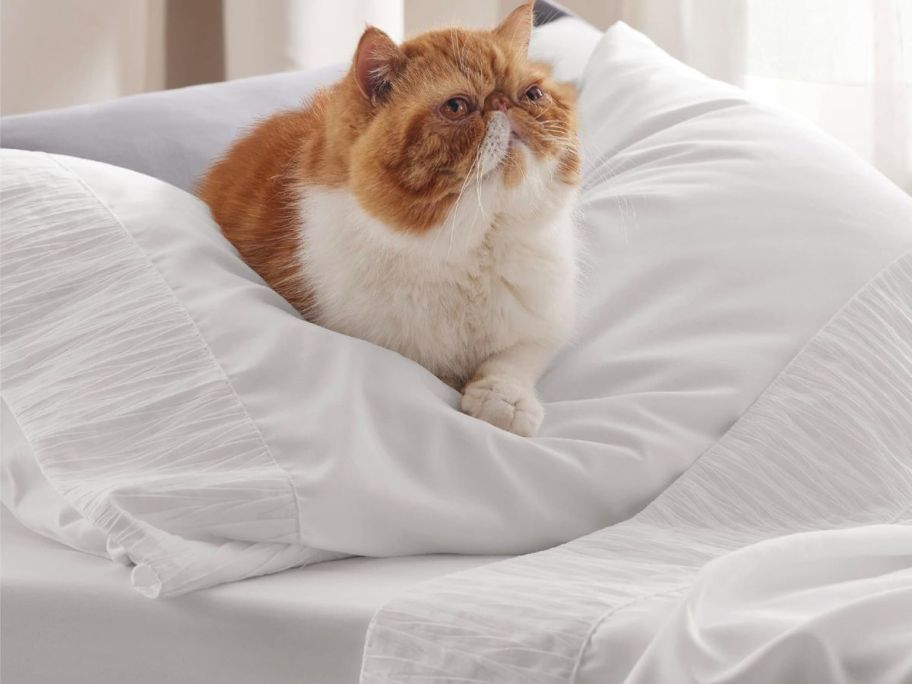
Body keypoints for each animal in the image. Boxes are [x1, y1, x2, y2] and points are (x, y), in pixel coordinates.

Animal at [202, 1, 580, 438]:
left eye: (531, 94)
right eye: (456, 106)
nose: (504, 103)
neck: (473, 243)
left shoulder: (543, 321)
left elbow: (515, 359)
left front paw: (503, 400)